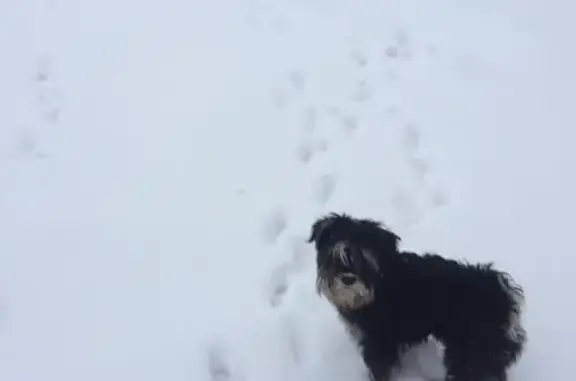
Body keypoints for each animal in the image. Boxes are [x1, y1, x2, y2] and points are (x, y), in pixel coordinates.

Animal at [310, 212, 528, 380]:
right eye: (335, 255)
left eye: (365, 258)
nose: (348, 279)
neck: (380, 283)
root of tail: (503, 296)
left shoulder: (378, 343)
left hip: (469, 354)